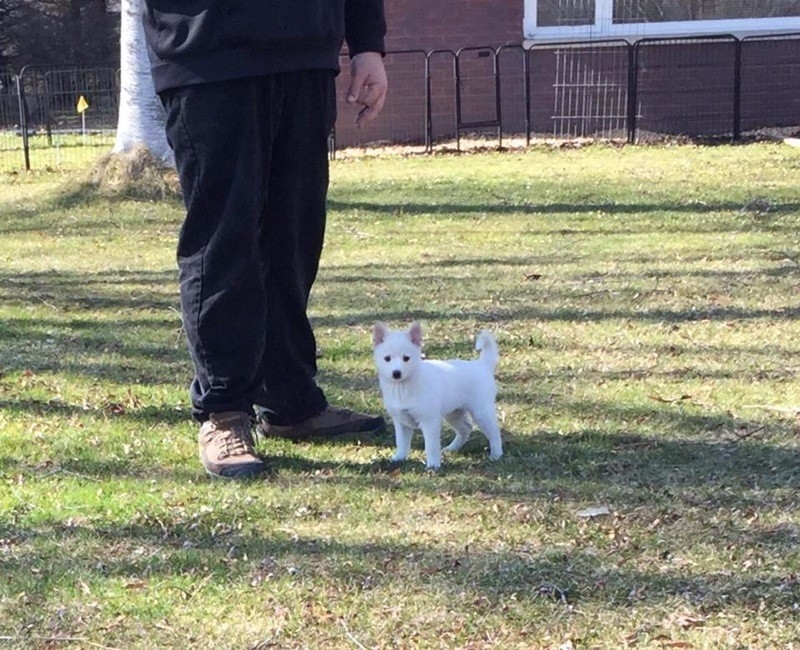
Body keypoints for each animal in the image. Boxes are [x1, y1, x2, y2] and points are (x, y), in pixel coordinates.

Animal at [374, 320, 500, 466]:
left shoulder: (430, 422)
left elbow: (431, 446)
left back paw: (496, 454)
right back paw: (452, 448)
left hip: (481, 412)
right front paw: (399, 458)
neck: (404, 387)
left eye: (406, 358)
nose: (396, 373)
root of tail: (482, 365)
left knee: (494, 432)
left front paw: (433, 465)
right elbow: (401, 443)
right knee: (466, 428)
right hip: (454, 413)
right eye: (387, 358)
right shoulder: (401, 422)